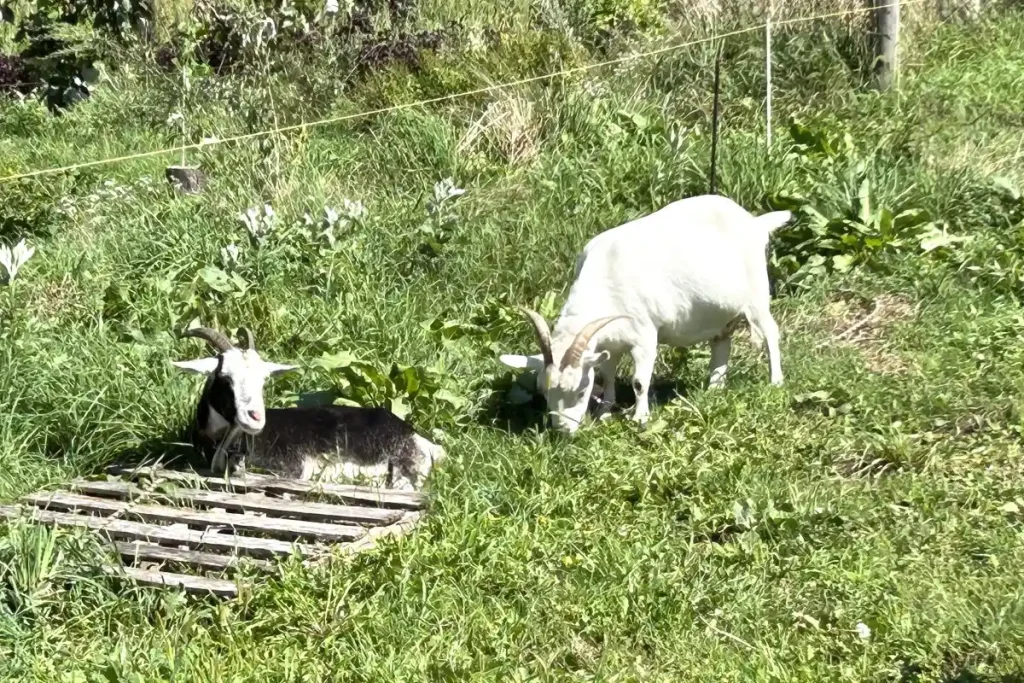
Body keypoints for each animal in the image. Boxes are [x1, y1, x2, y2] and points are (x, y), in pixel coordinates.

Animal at [499, 194, 794, 436]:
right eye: (544, 390)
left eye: (581, 391)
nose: (562, 430)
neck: (605, 280)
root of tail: (754, 222)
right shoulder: (610, 340)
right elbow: (607, 373)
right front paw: (605, 409)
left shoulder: (644, 334)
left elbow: (639, 382)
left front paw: (640, 418)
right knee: (722, 340)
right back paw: (714, 388)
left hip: (756, 293)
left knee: (770, 331)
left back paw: (775, 382)